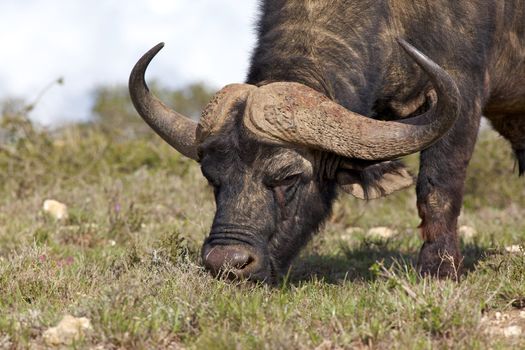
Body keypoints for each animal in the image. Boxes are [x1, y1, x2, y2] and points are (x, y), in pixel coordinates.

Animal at [130, 0, 524, 280]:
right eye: (213, 179)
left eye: (288, 177)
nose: (226, 263)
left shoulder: (463, 93)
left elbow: (438, 188)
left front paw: (438, 270)